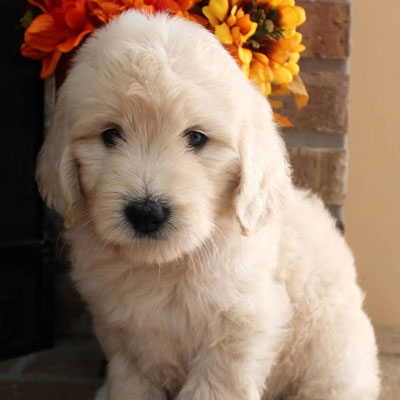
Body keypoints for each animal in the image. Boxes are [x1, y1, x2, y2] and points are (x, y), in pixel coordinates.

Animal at [37, 9, 382, 400]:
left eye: (197, 138)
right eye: (110, 134)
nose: (146, 212)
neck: (166, 266)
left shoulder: (241, 325)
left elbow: (214, 386)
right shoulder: (122, 336)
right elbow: (131, 384)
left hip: (333, 360)